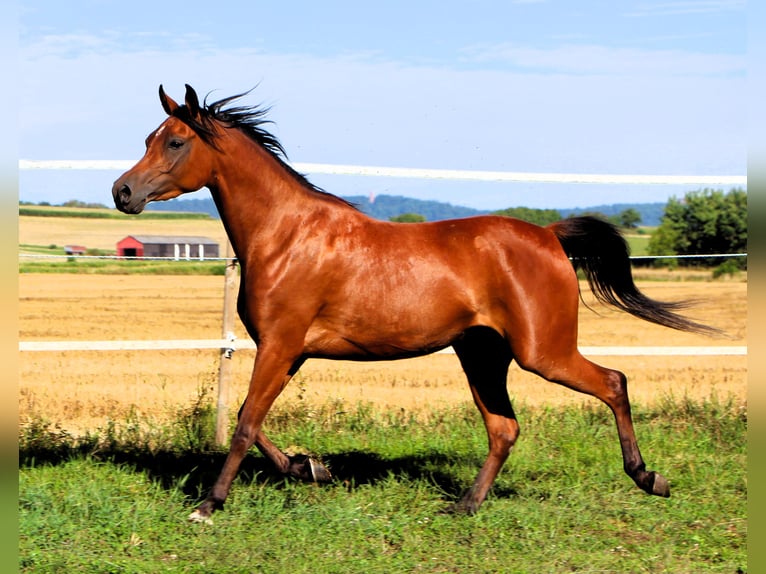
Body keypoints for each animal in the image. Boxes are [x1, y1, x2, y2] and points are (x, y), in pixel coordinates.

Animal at [112, 84, 717, 524]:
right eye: (147, 137)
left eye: (174, 142)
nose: (122, 192)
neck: (285, 235)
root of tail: (548, 235)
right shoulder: (288, 351)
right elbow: (251, 419)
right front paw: (310, 469)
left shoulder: (281, 345)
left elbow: (242, 423)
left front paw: (208, 505)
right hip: (482, 355)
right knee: (504, 428)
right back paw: (466, 505)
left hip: (541, 352)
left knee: (613, 382)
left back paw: (649, 478)